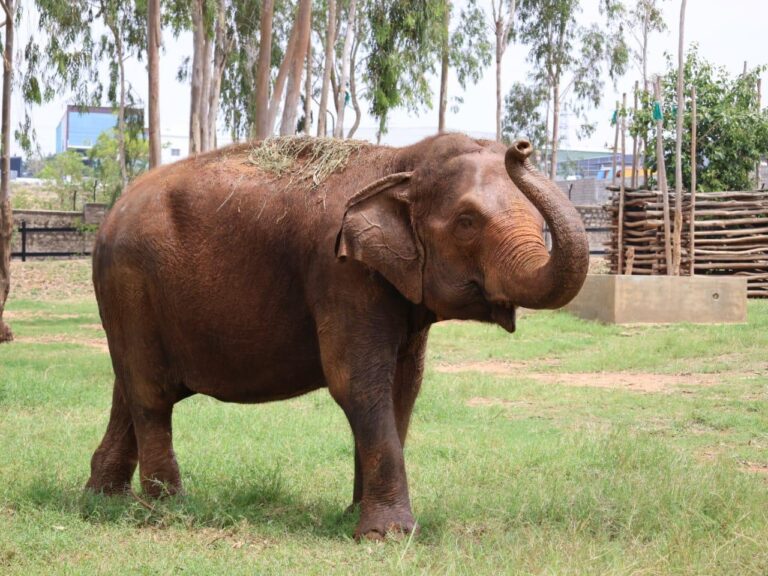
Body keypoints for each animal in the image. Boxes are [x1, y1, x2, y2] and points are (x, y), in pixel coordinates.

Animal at [85, 133, 589, 540]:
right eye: (467, 221)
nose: (521, 147)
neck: (399, 162)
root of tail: (110, 215)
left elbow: (404, 388)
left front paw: (355, 517)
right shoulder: (340, 274)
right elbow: (358, 385)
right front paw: (388, 536)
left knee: (129, 389)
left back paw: (105, 499)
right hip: (130, 283)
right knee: (151, 395)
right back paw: (169, 510)